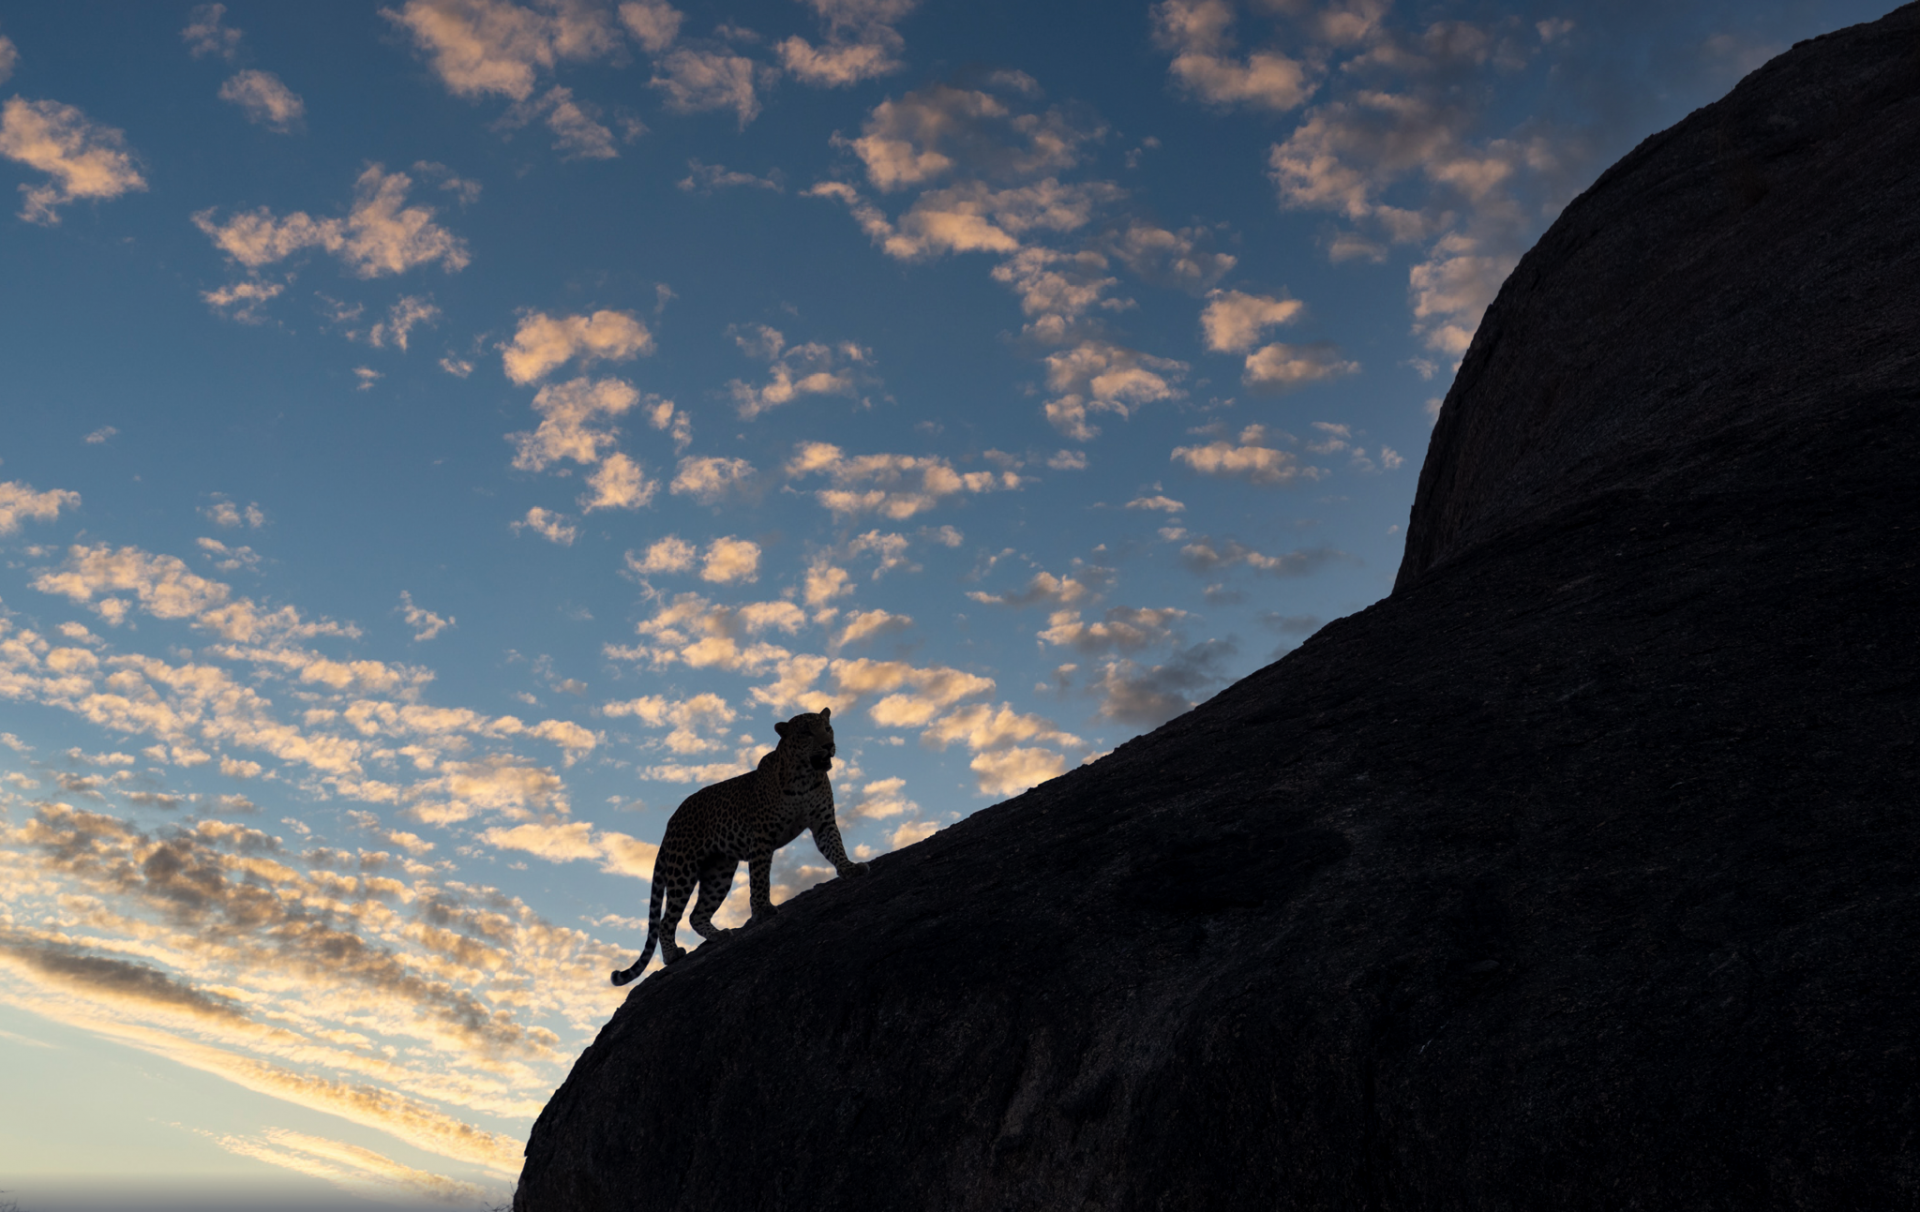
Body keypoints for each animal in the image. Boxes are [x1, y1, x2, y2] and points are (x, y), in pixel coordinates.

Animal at [610, 710, 867, 983]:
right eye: (807, 732)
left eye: (827, 728)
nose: (828, 746)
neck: (805, 776)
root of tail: (670, 823)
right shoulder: (762, 837)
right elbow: (760, 878)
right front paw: (762, 910)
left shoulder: (823, 823)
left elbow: (836, 847)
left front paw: (850, 868)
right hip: (683, 871)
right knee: (666, 921)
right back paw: (672, 955)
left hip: (718, 874)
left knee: (695, 914)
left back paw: (718, 935)